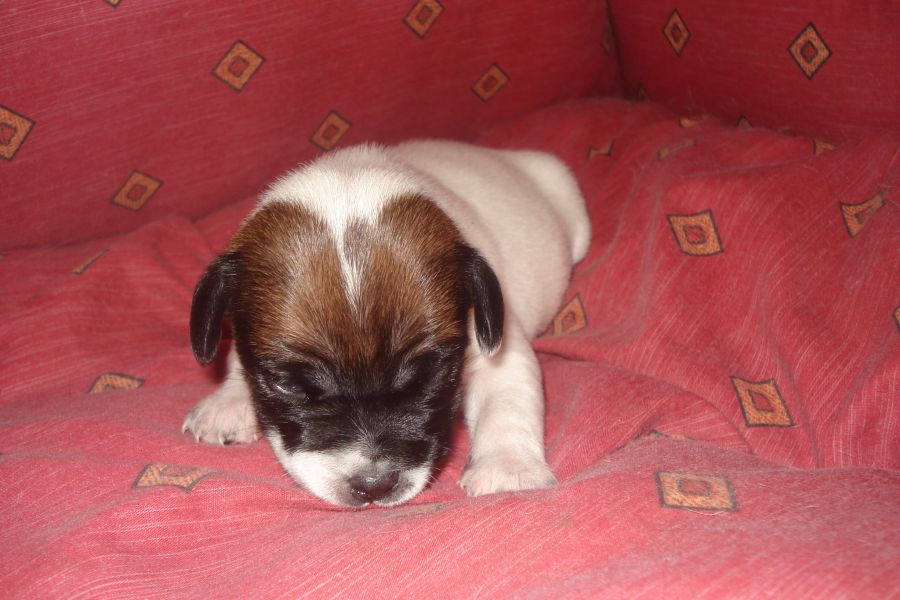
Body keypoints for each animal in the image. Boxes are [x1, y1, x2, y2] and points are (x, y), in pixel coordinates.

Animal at [183, 140, 590, 507]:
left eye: (430, 375)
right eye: (287, 386)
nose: (373, 486)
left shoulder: (496, 345)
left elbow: (507, 401)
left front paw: (509, 468)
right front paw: (229, 400)